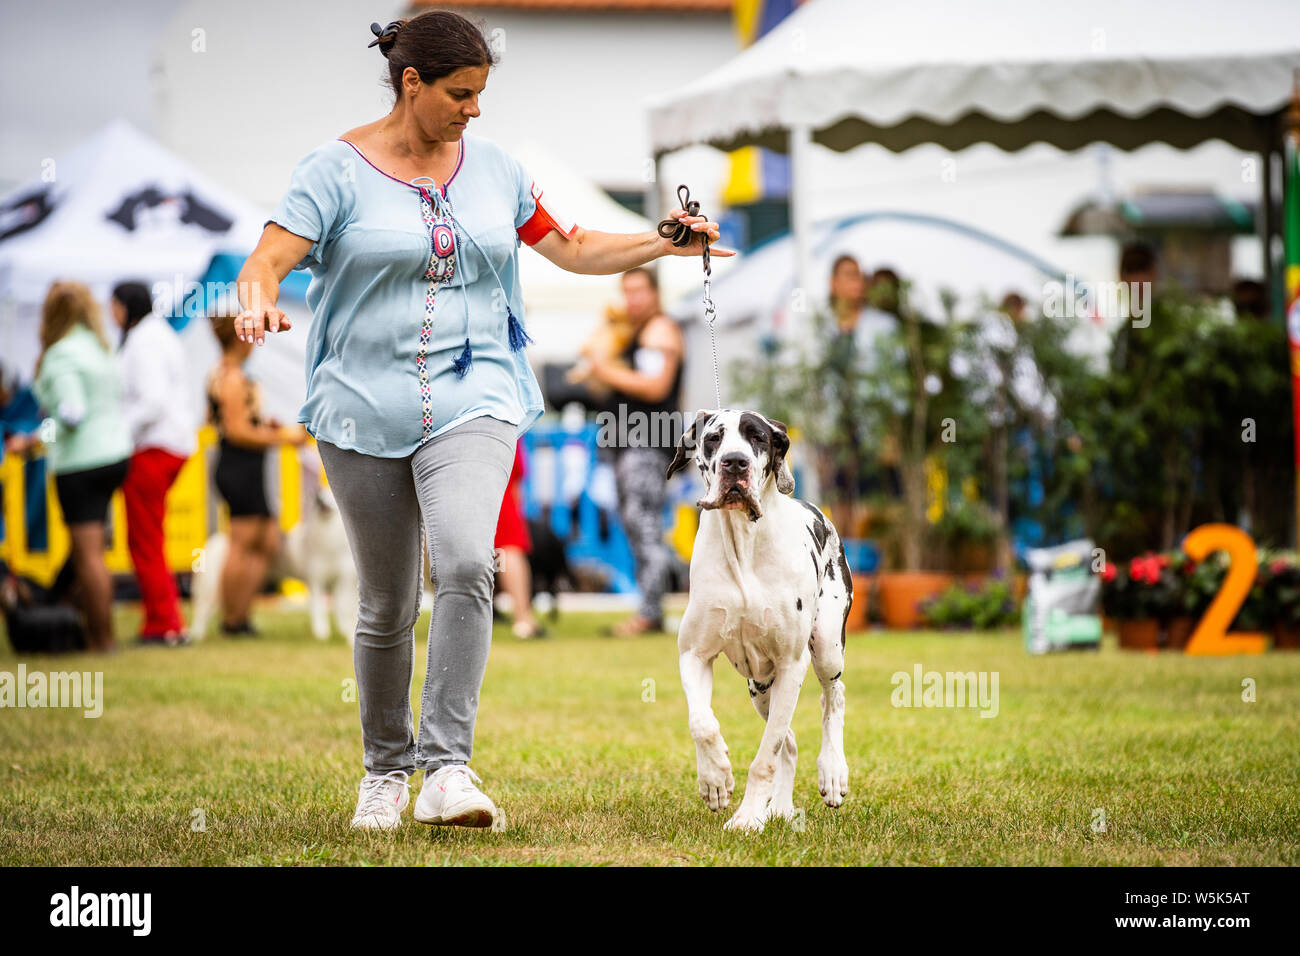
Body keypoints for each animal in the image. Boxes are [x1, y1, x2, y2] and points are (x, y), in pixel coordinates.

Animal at [670, 408, 852, 832]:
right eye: (714, 438)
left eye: (758, 438)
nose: (735, 463)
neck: (744, 547)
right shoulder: (693, 654)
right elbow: (702, 723)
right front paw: (715, 779)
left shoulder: (791, 665)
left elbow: (764, 757)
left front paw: (747, 818)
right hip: (760, 689)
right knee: (789, 740)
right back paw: (780, 808)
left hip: (826, 650)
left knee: (832, 699)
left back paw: (832, 771)